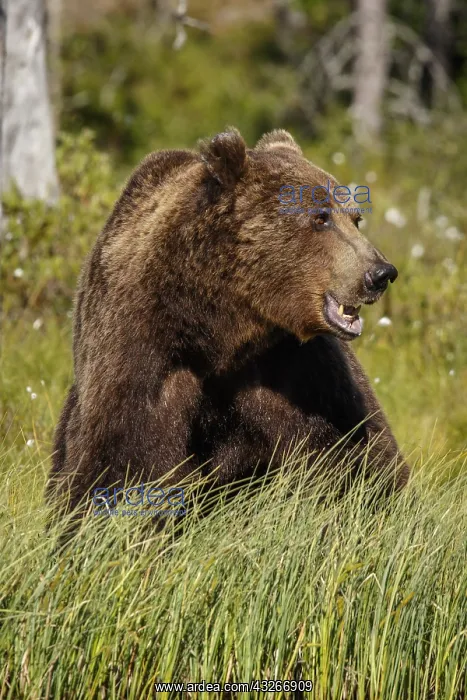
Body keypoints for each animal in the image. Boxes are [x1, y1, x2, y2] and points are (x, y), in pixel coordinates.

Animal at [47, 127, 409, 516]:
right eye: (320, 218)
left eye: (355, 218)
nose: (380, 273)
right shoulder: (142, 350)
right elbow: (119, 460)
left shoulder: (300, 370)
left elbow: (359, 454)